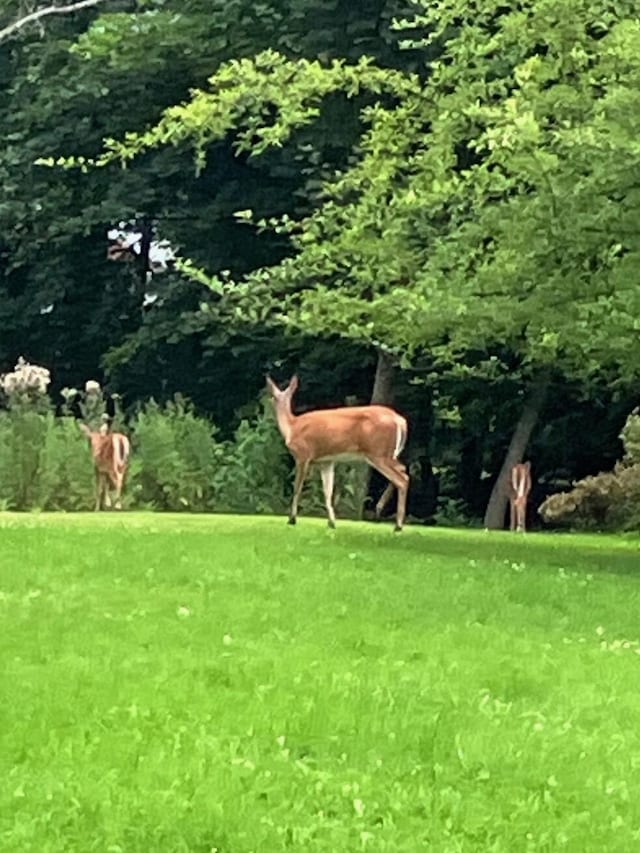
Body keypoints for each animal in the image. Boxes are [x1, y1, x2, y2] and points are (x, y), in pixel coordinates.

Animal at [266, 374, 410, 528]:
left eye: (273, 396)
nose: (269, 402)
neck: (291, 427)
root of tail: (400, 421)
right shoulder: (326, 461)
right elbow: (328, 491)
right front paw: (332, 522)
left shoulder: (302, 456)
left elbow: (297, 488)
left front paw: (292, 519)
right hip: (389, 454)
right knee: (403, 471)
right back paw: (384, 512)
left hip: (378, 453)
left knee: (402, 479)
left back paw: (397, 525)